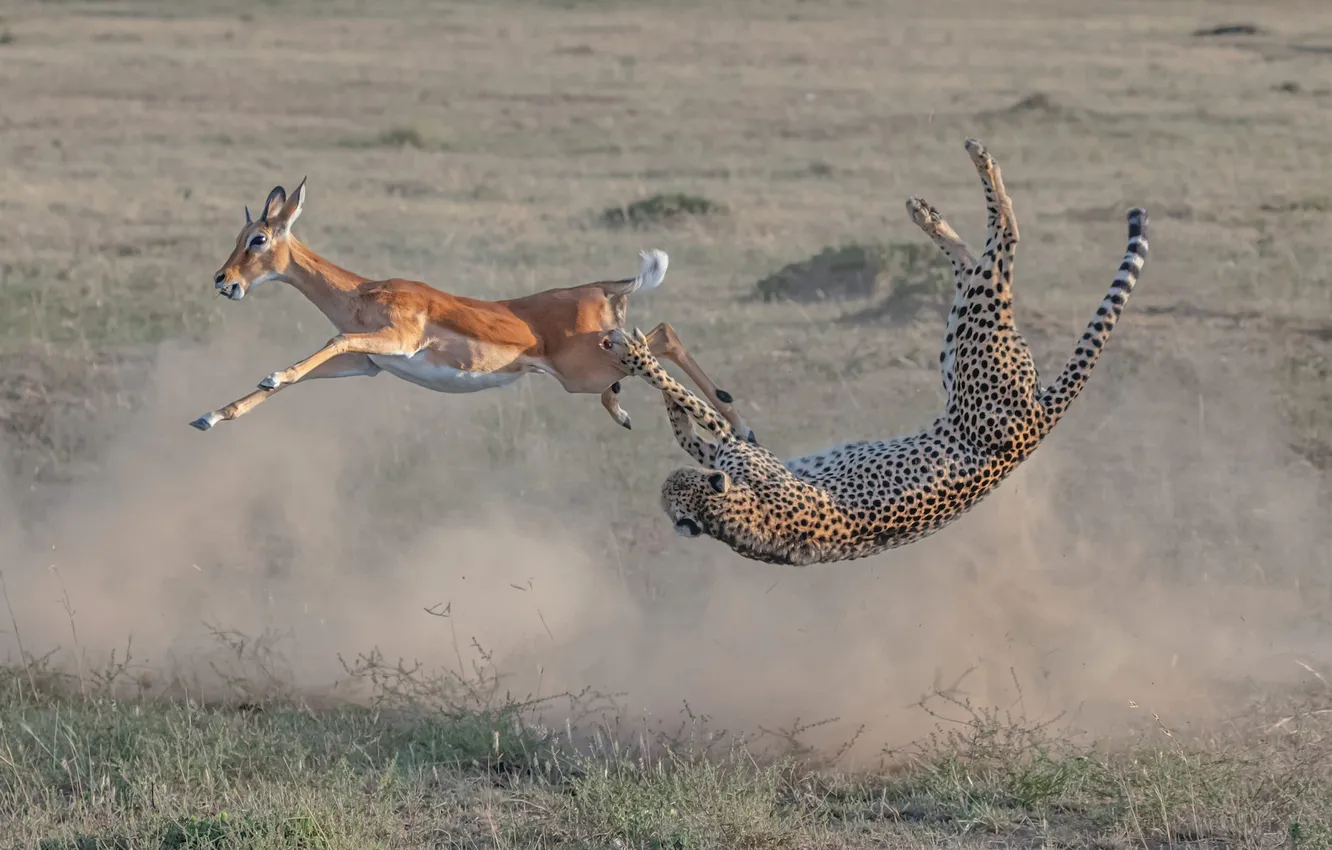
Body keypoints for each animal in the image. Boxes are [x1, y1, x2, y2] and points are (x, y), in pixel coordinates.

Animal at [601, 138, 1150, 567]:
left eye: (675, 485)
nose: (678, 483)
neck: (736, 520)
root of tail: (1040, 419)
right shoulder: (740, 453)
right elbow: (700, 424)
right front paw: (655, 382)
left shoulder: (746, 453)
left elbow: (703, 412)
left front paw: (640, 358)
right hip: (967, 340)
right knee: (984, 261)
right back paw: (936, 209)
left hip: (975, 342)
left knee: (1003, 241)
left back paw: (968, 174)